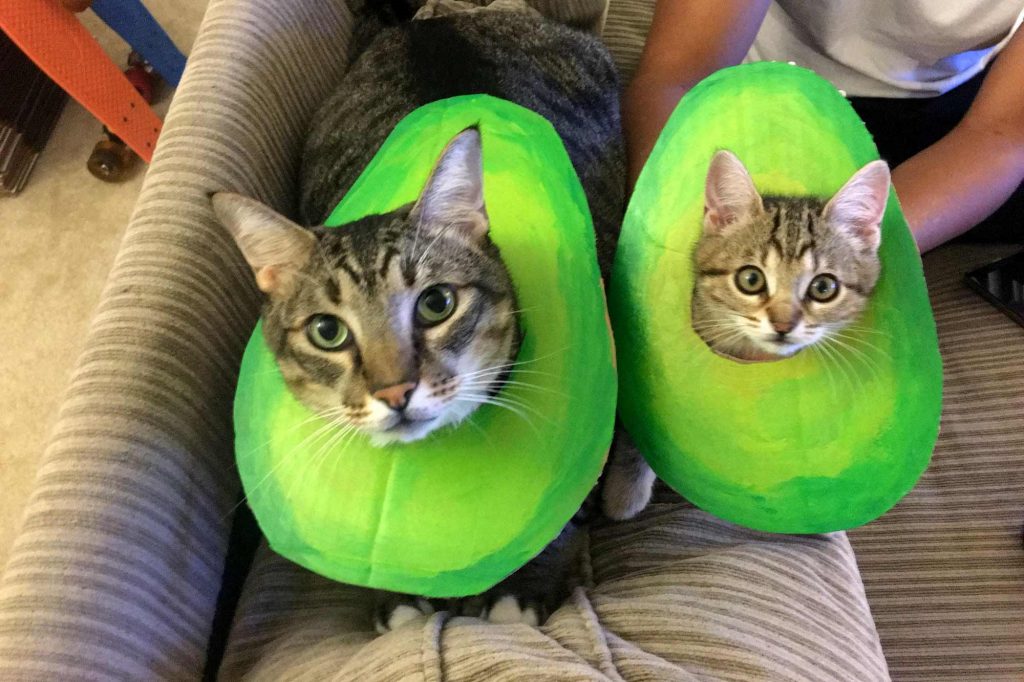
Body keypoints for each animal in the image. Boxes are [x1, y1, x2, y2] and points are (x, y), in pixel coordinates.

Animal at [214, 2, 647, 630]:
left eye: (436, 304)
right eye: (328, 332)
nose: (395, 392)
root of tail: (436, 22)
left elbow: (565, 518)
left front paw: (522, 591)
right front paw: (394, 601)